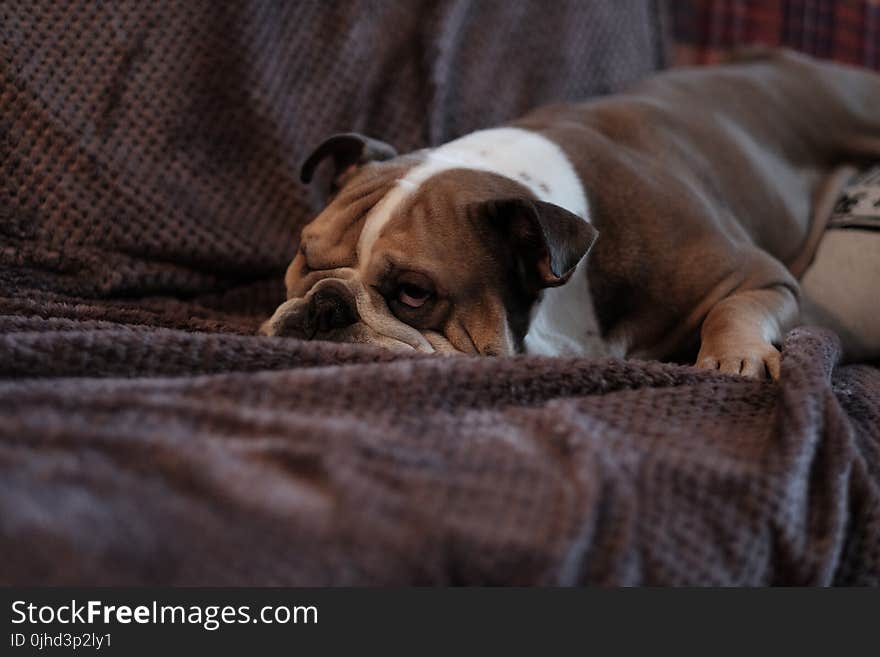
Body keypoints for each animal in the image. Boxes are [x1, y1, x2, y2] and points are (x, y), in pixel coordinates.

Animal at [262, 50, 880, 380]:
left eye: (414, 293)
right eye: (304, 258)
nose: (325, 303)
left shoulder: (762, 276)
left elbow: (731, 310)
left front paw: (735, 359)